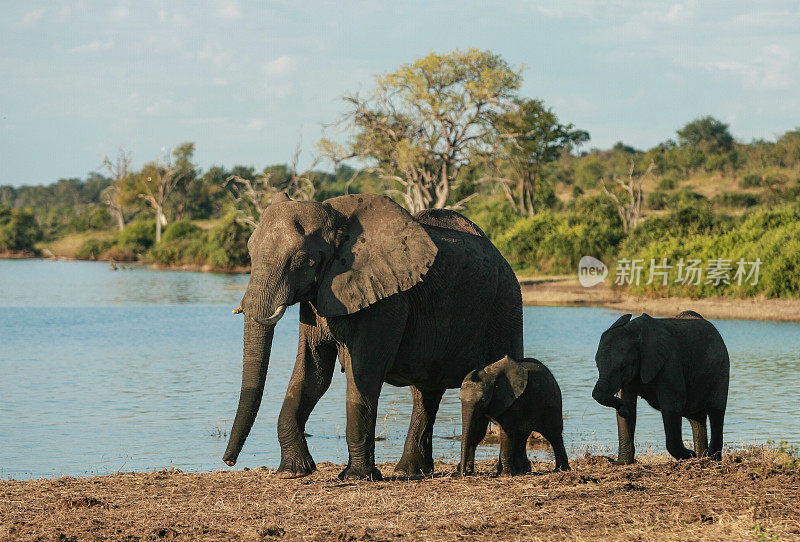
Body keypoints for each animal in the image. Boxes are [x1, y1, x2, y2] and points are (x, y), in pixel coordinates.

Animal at [222, 194, 520, 480]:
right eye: (250, 252)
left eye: (302, 259)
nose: (228, 460)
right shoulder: (317, 300)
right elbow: (312, 375)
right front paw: (292, 472)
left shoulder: (388, 299)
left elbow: (364, 374)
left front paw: (357, 476)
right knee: (426, 394)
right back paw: (410, 472)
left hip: (505, 305)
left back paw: (507, 471)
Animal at [592, 312, 728, 466]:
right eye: (597, 365)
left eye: (622, 367)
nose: (622, 409)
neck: (635, 331)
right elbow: (628, 404)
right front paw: (622, 463)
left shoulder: (670, 362)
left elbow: (672, 404)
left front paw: (689, 455)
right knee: (696, 418)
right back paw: (702, 458)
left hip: (721, 368)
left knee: (716, 412)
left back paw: (712, 459)